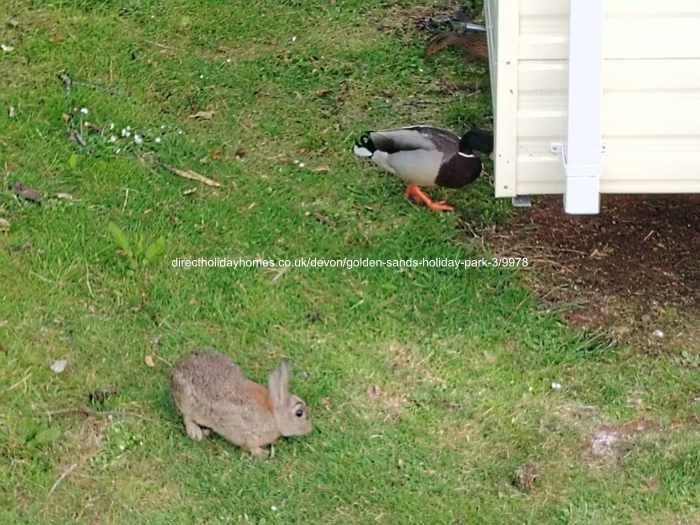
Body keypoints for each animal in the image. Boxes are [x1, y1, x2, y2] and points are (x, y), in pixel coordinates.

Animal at [170, 350, 312, 456]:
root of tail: (177, 367)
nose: (310, 429)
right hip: (188, 401)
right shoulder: (246, 433)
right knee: (187, 417)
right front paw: (262, 453)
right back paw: (196, 433)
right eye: (299, 413)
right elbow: (249, 446)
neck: (274, 415)